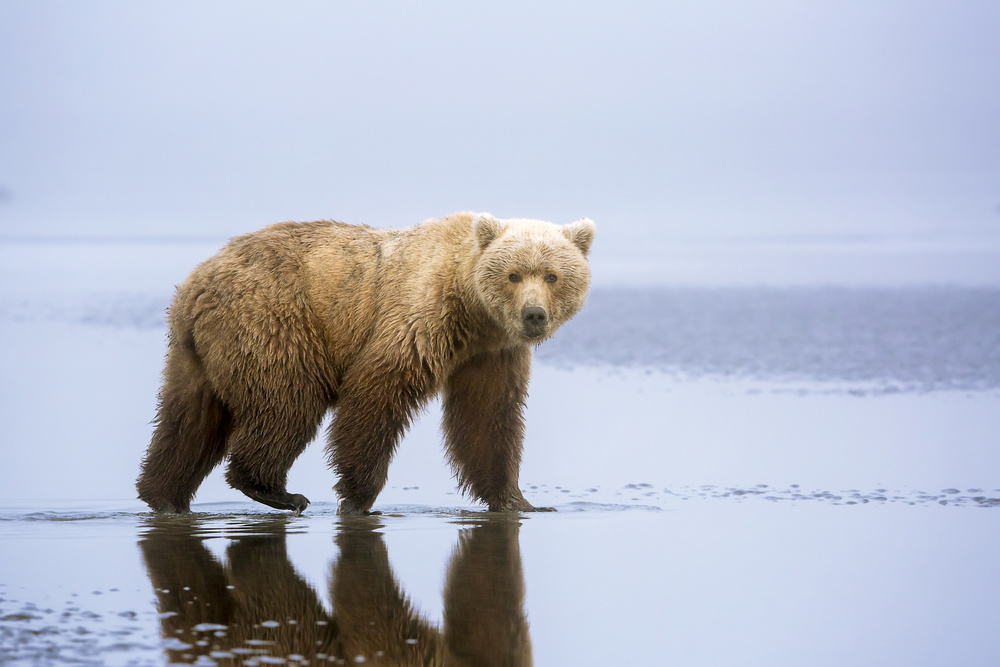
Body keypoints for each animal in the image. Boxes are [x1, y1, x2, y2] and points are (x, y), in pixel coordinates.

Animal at [138, 211, 596, 516]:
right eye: (514, 274)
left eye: (552, 275)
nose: (534, 315)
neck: (472, 311)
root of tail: (196, 283)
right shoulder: (419, 316)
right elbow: (377, 392)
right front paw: (358, 497)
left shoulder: (491, 354)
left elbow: (489, 420)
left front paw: (520, 500)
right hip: (274, 321)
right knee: (287, 403)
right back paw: (277, 490)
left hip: (197, 352)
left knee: (188, 420)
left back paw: (163, 495)